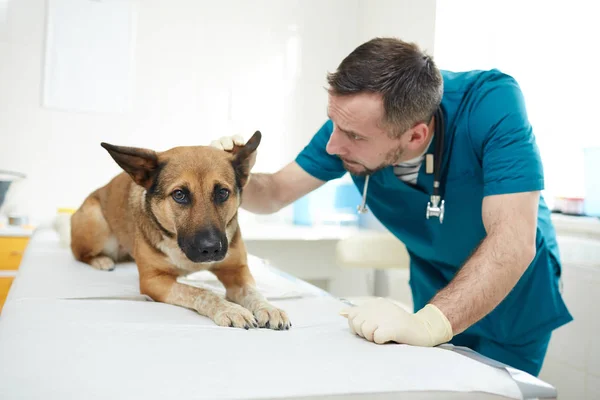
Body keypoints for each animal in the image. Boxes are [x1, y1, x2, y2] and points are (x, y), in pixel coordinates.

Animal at [70, 131, 290, 328]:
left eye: (222, 192)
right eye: (179, 195)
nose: (211, 249)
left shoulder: (237, 271)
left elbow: (253, 291)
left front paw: (269, 308)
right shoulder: (153, 281)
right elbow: (201, 293)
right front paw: (229, 309)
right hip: (95, 221)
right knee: (80, 253)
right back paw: (101, 260)